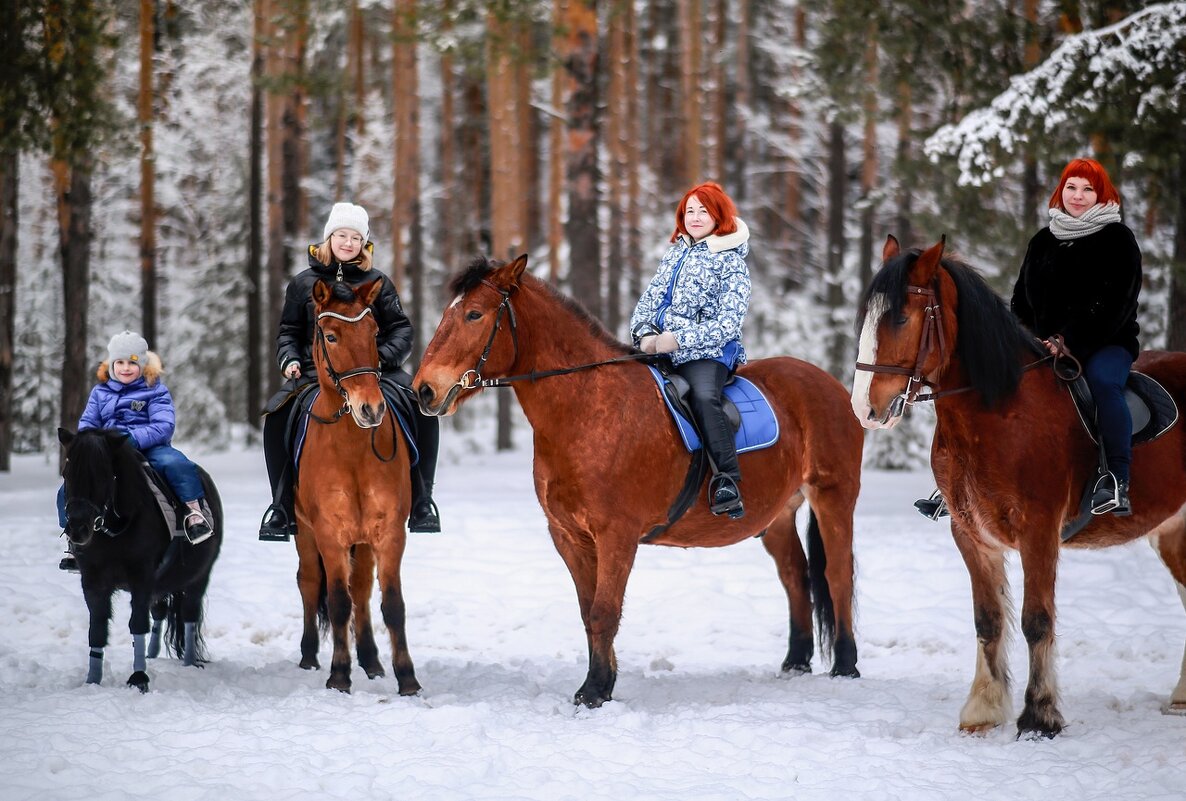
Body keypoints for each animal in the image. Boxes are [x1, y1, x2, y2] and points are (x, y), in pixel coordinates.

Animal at [57, 429, 222, 693]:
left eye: (104, 475)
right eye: (66, 474)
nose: (78, 530)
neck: (114, 531)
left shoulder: (142, 578)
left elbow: (137, 624)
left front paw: (139, 679)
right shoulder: (93, 581)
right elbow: (97, 628)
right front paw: (92, 680)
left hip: (198, 577)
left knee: (189, 615)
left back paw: (190, 663)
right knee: (161, 611)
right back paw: (152, 655)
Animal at [292, 277, 419, 697]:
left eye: (374, 332)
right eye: (331, 336)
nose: (371, 409)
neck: (351, 449)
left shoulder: (389, 532)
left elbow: (391, 604)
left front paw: (407, 678)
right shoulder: (329, 534)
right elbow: (336, 602)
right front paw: (339, 675)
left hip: (362, 541)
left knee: (361, 587)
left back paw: (372, 661)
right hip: (304, 532)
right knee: (309, 582)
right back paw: (309, 656)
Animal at [412, 255, 858, 707]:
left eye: (474, 314)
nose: (424, 390)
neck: (587, 407)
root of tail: (829, 383)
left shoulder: (617, 535)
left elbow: (604, 612)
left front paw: (593, 691)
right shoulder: (570, 537)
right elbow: (588, 611)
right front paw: (603, 684)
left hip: (834, 498)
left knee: (836, 574)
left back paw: (845, 665)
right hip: (778, 515)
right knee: (795, 577)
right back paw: (796, 662)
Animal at [858, 238, 1186, 740]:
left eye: (899, 318)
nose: (864, 408)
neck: (999, 411)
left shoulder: (1039, 532)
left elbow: (1036, 620)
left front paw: (1040, 717)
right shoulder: (971, 534)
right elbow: (988, 620)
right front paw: (982, 709)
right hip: (1172, 532)